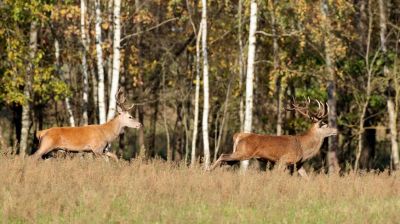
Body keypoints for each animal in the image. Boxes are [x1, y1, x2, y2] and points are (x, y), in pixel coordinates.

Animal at [209, 98, 338, 178]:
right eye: (325, 125)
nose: (336, 130)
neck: (303, 147)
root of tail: (238, 135)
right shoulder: (284, 160)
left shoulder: (298, 164)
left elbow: (307, 179)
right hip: (243, 152)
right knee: (223, 155)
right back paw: (208, 170)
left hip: (238, 154)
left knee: (225, 162)